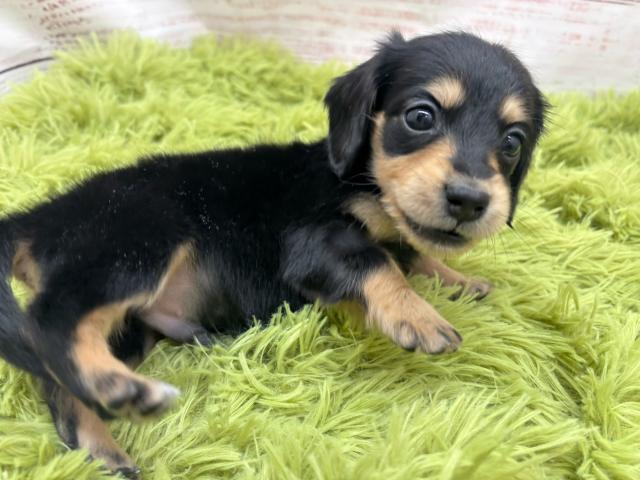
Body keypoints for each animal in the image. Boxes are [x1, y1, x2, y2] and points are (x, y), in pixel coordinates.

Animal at [0, 31, 545, 477]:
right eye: (420, 116)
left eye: (512, 142)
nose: (470, 200)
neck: (359, 178)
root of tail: (40, 216)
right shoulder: (314, 238)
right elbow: (379, 260)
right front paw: (419, 314)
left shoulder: (396, 231)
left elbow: (412, 252)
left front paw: (461, 280)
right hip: (137, 243)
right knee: (51, 321)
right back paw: (119, 388)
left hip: (128, 322)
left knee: (58, 382)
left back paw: (101, 446)